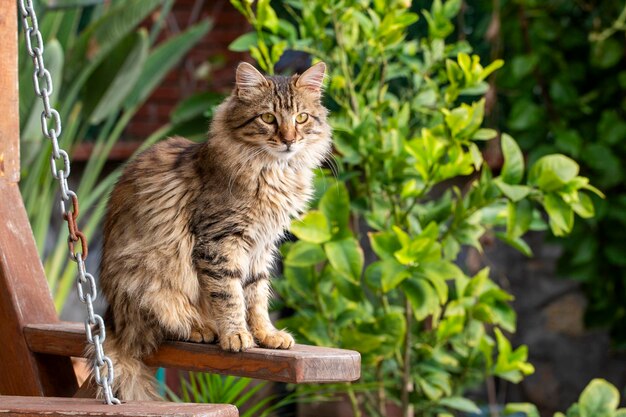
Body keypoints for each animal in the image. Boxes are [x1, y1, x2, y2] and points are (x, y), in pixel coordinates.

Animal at [91, 61, 332, 400]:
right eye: (268, 118)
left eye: (301, 118)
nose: (289, 140)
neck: (273, 173)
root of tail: (113, 318)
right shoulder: (220, 241)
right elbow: (230, 295)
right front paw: (237, 336)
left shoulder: (261, 248)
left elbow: (256, 296)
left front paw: (266, 334)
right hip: (149, 279)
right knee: (162, 324)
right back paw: (202, 328)